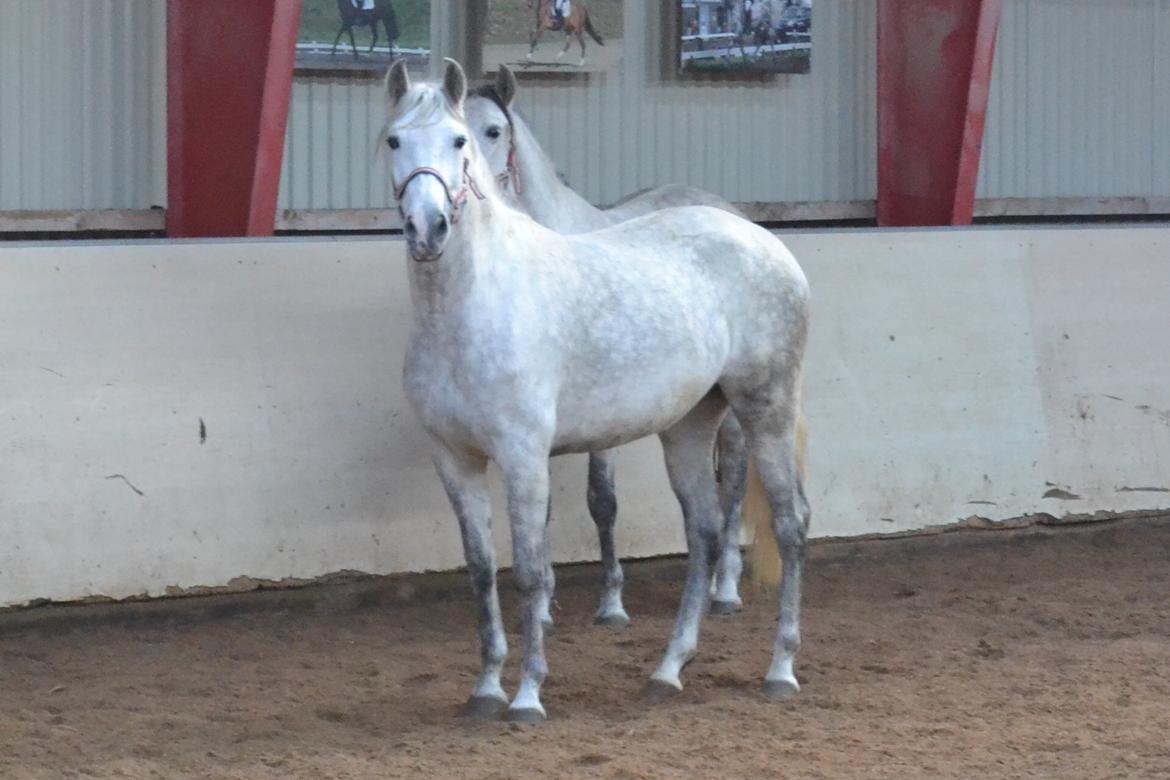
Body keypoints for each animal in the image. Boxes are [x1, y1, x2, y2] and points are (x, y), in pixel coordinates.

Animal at [465, 64, 758, 626]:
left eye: (493, 131)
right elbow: (545, 509)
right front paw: (546, 605)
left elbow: (602, 501)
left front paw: (612, 602)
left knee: (733, 477)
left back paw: (726, 588)